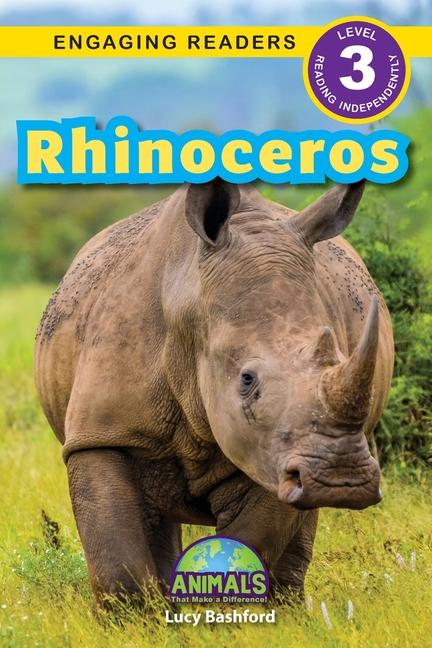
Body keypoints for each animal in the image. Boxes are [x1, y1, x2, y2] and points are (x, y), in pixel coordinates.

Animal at [35, 179, 394, 605]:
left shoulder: (273, 451)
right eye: (247, 380)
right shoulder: (102, 432)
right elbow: (118, 561)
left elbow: (249, 542)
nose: (342, 479)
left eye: (338, 357)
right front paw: (141, 618)